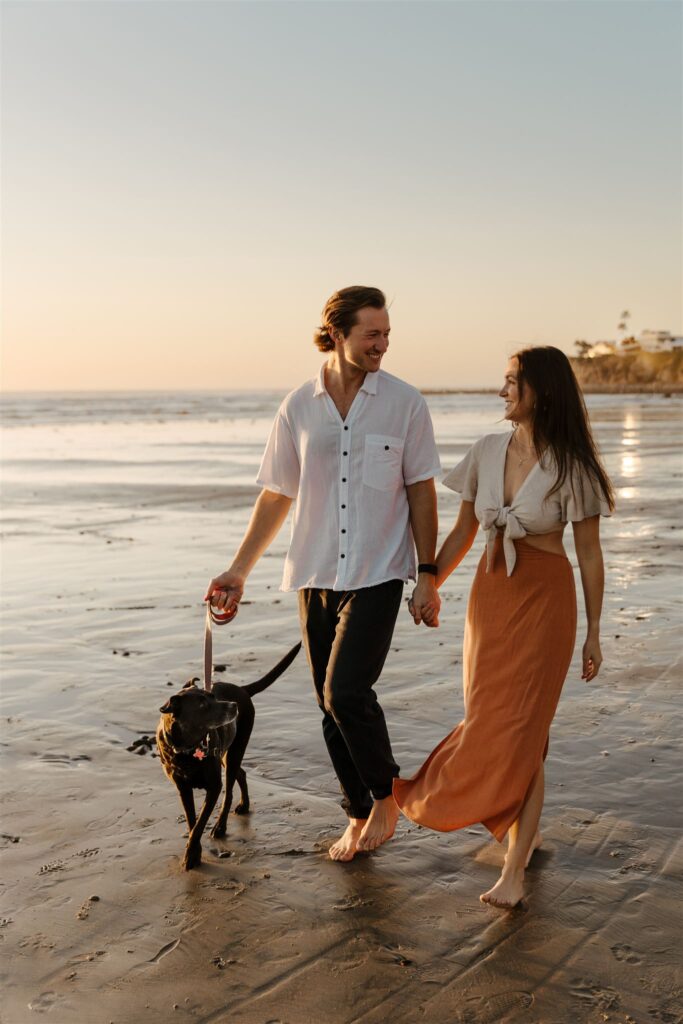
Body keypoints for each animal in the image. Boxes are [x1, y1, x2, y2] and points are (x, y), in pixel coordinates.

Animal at [160, 643, 301, 868]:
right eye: (202, 704)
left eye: (214, 697)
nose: (233, 705)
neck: (188, 749)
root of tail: (242, 690)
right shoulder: (182, 788)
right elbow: (192, 821)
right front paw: (194, 852)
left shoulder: (214, 786)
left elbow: (200, 823)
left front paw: (191, 855)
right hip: (227, 755)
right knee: (240, 774)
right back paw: (244, 805)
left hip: (236, 748)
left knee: (230, 791)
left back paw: (221, 825)